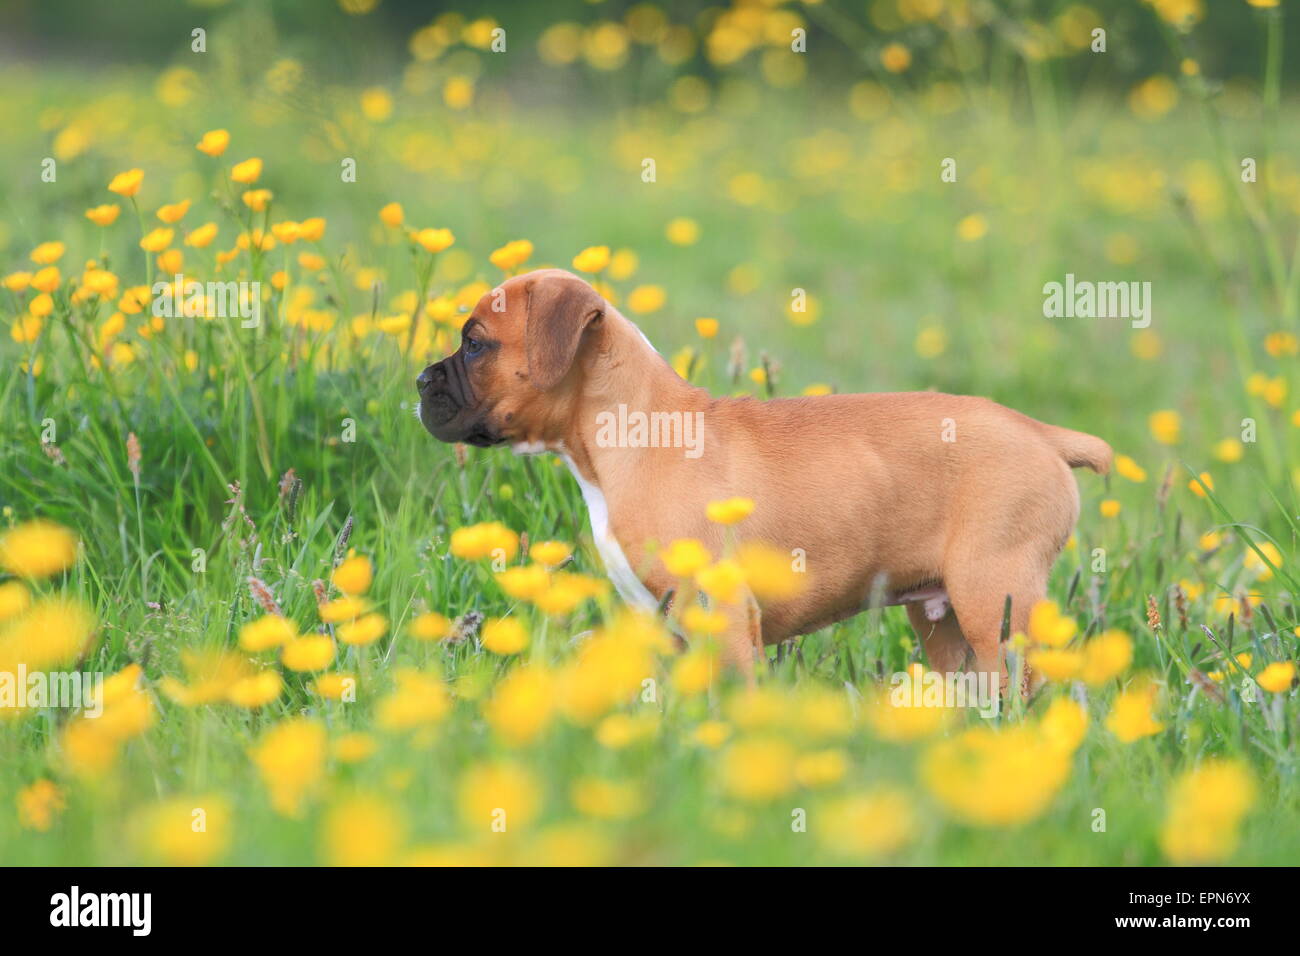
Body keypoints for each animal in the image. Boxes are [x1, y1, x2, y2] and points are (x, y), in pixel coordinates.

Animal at [421, 269, 1112, 686]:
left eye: (476, 343)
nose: (422, 380)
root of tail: (1041, 433)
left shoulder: (720, 612)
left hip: (996, 599)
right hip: (946, 624)